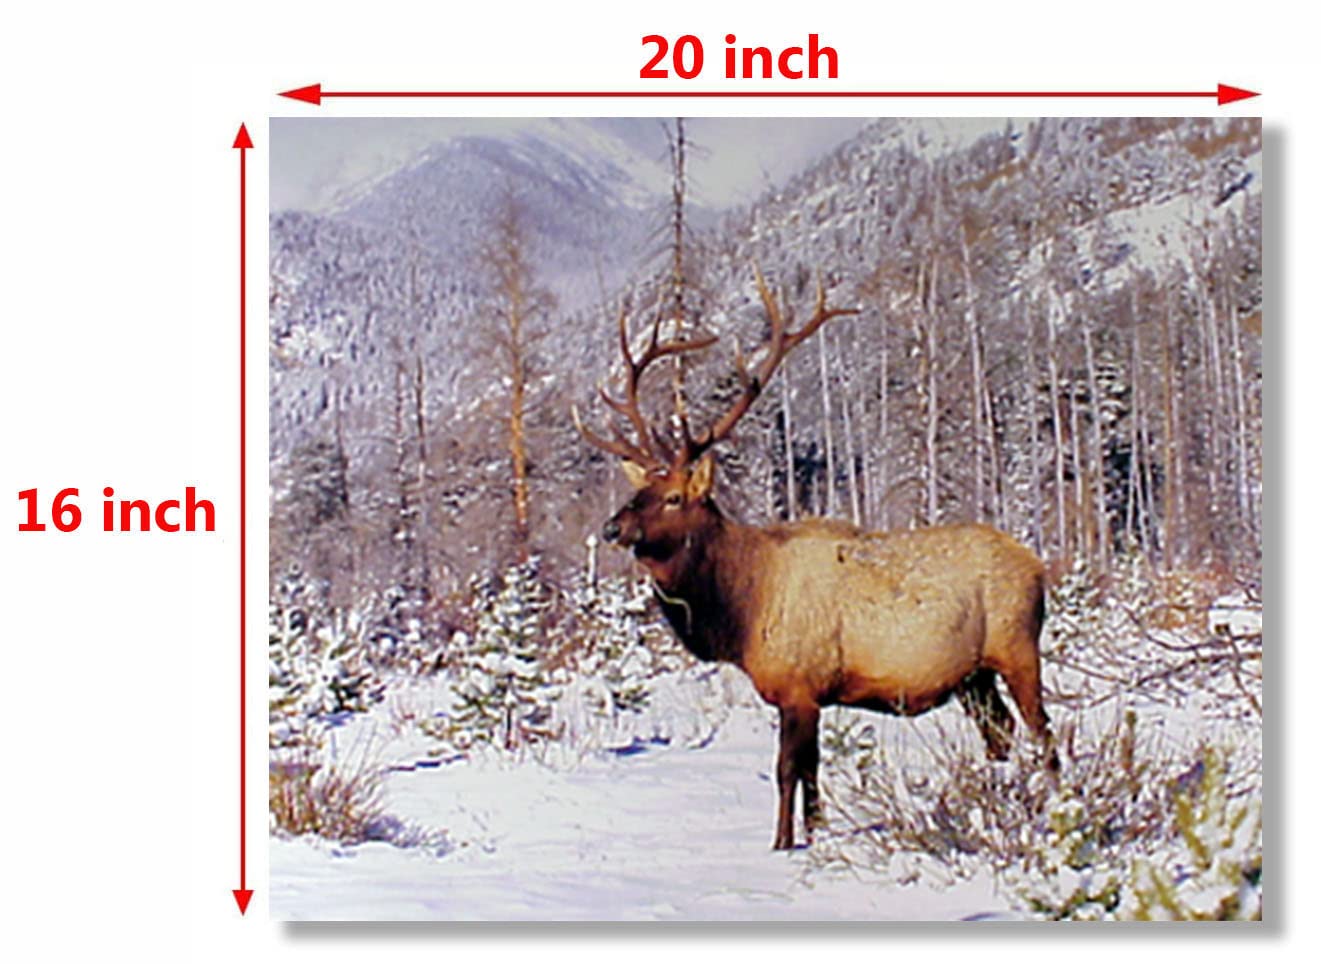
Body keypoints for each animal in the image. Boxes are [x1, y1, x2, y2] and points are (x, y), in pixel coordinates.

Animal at [575, 268, 1058, 850]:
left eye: (672, 498)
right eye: (639, 489)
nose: (611, 527)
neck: (740, 608)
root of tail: (1039, 569)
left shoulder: (799, 688)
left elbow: (789, 770)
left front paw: (782, 843)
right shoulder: (812, 696)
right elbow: (812, 770)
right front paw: (815, 831)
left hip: (1017, 648)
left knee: (1044, 732)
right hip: (972, 676)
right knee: (1001, 733)